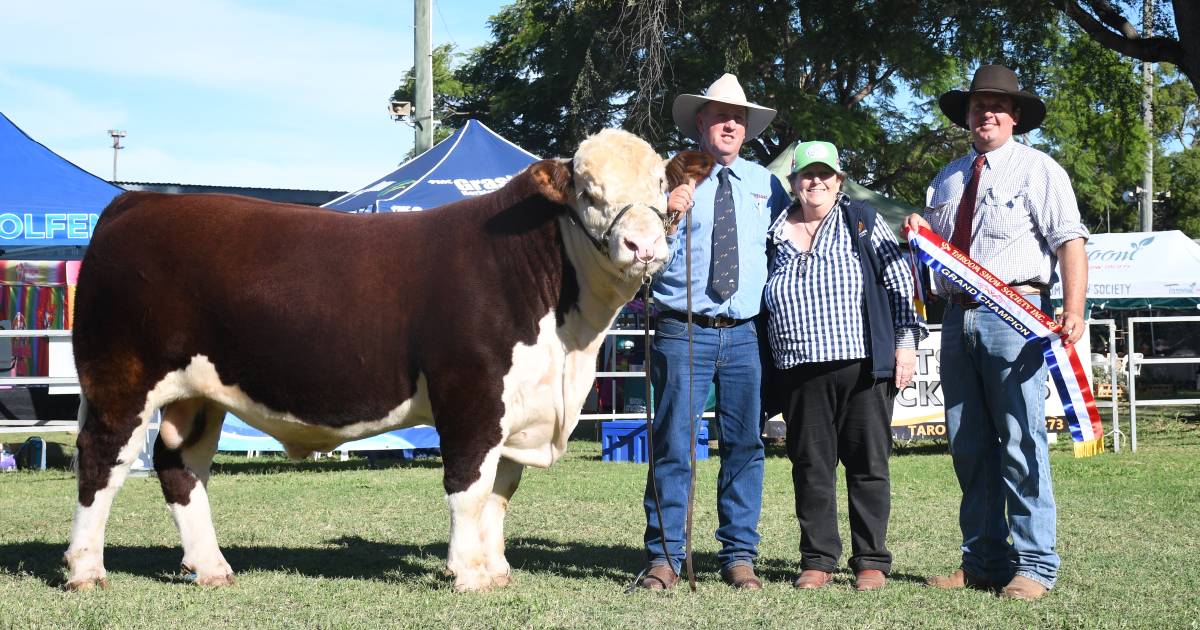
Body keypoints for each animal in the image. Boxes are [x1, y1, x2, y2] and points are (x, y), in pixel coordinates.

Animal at [63, 130, 710, 592]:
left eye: (661, 183)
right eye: (587, 191)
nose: (644, 246)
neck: (568, 342)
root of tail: (135, 201)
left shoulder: (521, 403)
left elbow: (501, 490)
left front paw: (496, 568)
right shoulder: (471, 392)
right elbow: (469, 486)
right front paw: (468, 574)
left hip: (195, 394)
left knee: (182, 468)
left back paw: (211, 567)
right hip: (120, 380)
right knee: (101, 462)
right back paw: (85, 570)